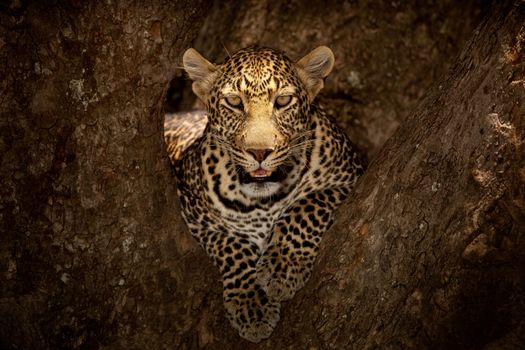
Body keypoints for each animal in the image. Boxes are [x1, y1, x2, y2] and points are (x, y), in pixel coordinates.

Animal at [166, 45, 366, 344]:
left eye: (282, 100)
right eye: (234, 102)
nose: (259, 152)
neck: (262, 202)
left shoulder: (350, 177)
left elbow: (306, 206)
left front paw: (282, 267)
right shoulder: (193, 215)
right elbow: (231, 246)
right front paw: (252, 304)